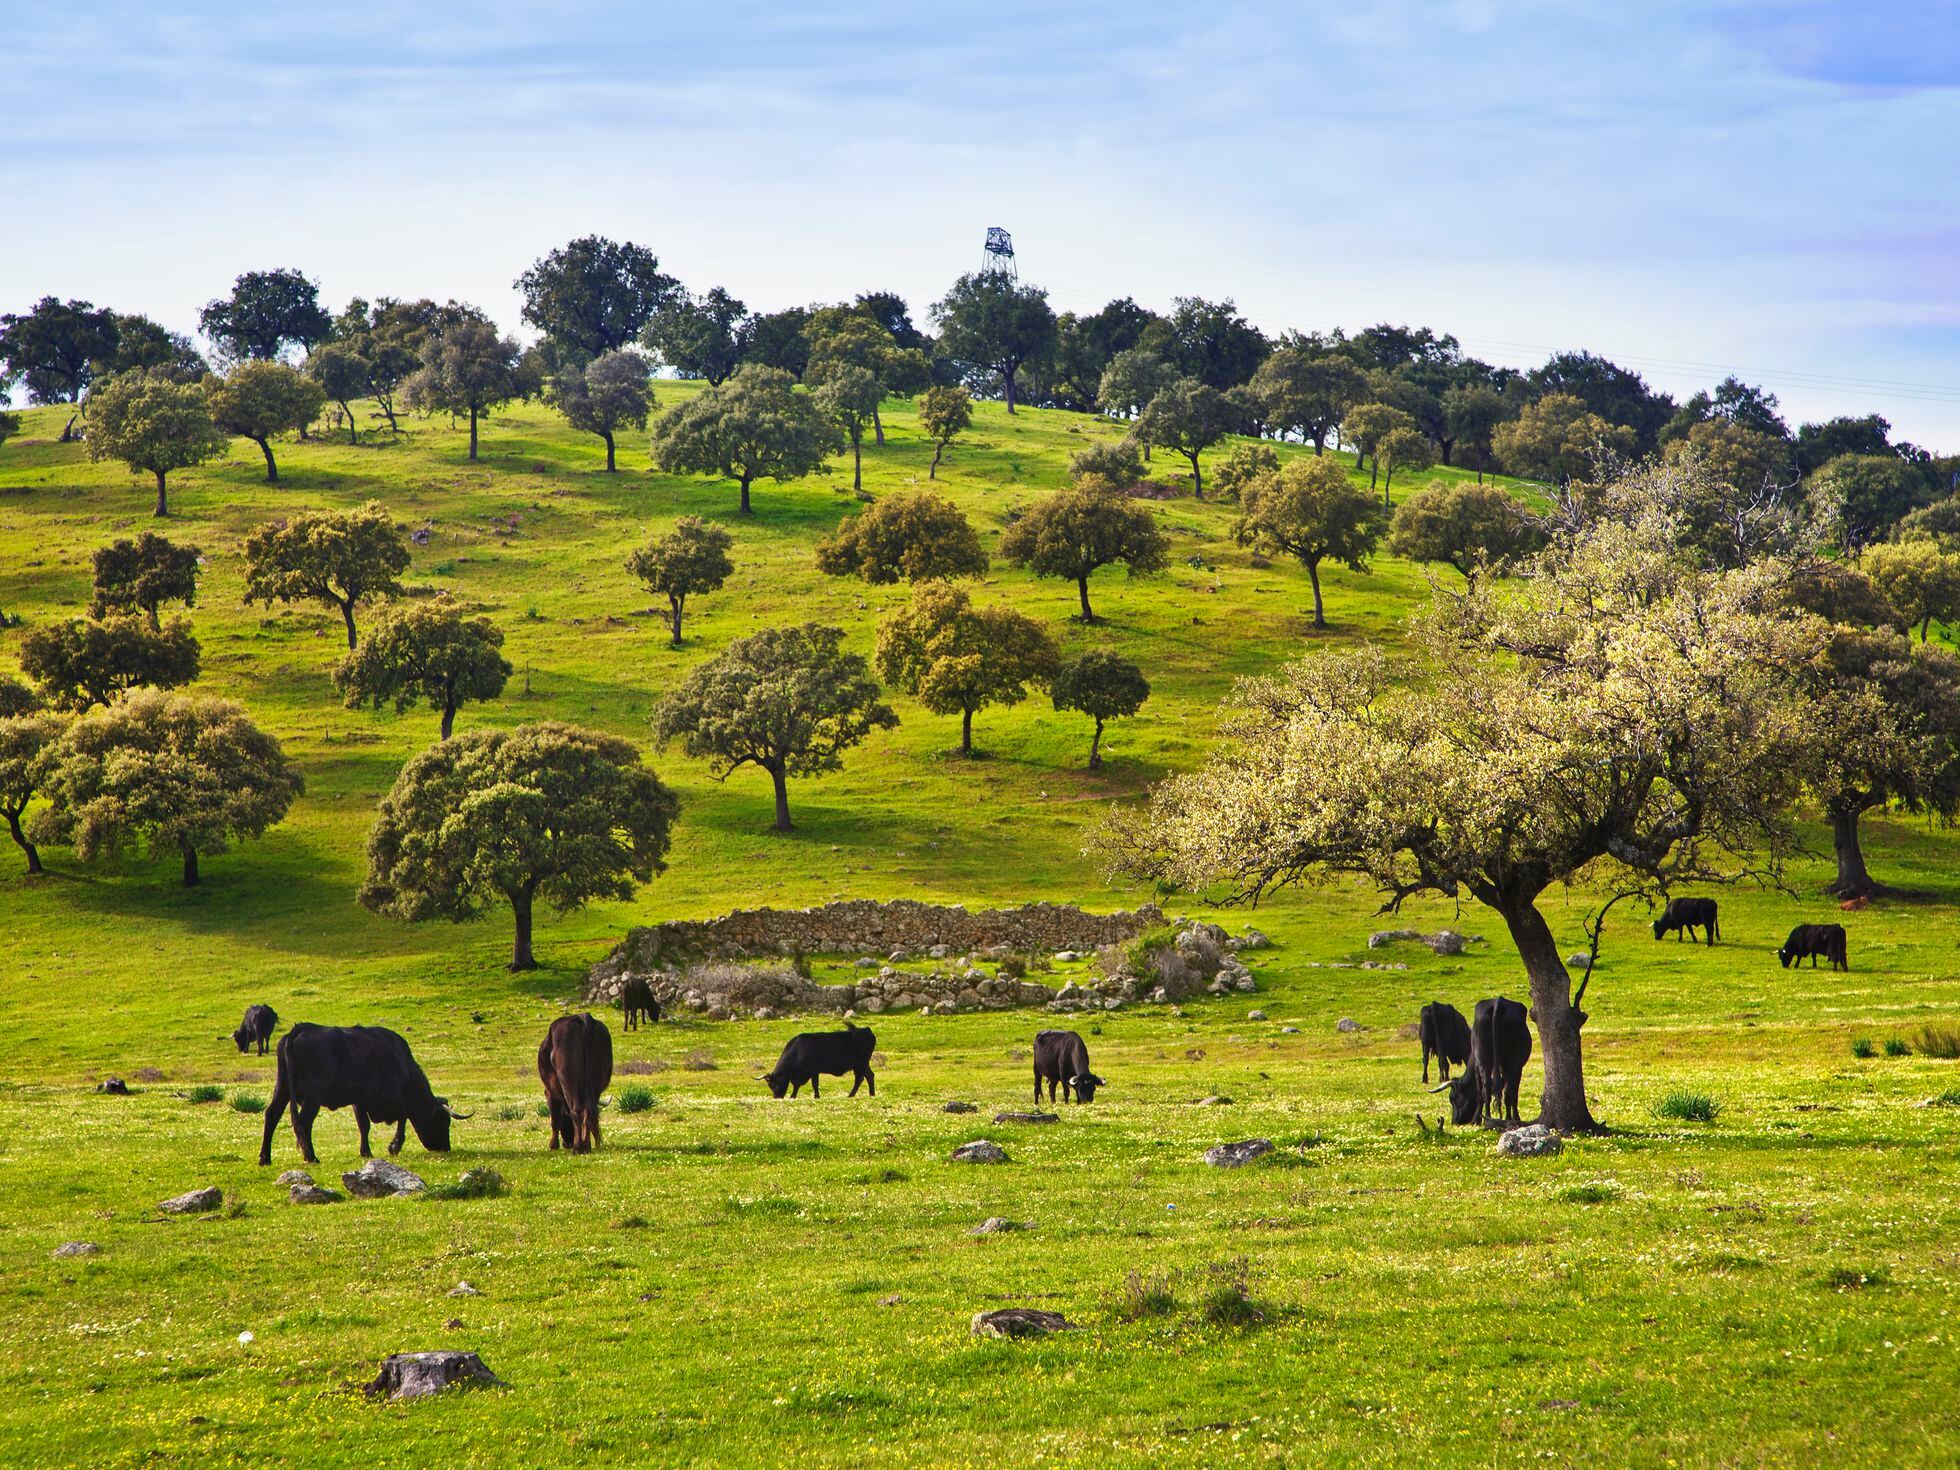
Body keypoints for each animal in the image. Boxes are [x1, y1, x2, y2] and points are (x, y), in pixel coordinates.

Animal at [256, 1027, 466, 1168]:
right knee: (304, 1121)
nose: (445, 1148)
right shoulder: (393, 1095)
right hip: (314, 1093)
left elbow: (363, 1126)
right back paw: (311, 1157)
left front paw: (366, 1152)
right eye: (442, 1122)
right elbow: (403, 1115)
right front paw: (394, 1146)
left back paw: (265, 1158)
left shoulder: (360, 1101)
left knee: (272, 1115)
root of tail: (299, 1029)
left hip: (282, 1087)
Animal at [537, 1019, 611, 1160]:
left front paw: (553, 1145)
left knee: (576, 1112)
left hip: (569, 1083)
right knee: (589, 1112)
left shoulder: (550, 1093)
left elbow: (555, 1119)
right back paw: (586, 1146)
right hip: (596, 1084)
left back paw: (578, 1148)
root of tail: (584, 1018)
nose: (568, 1143)